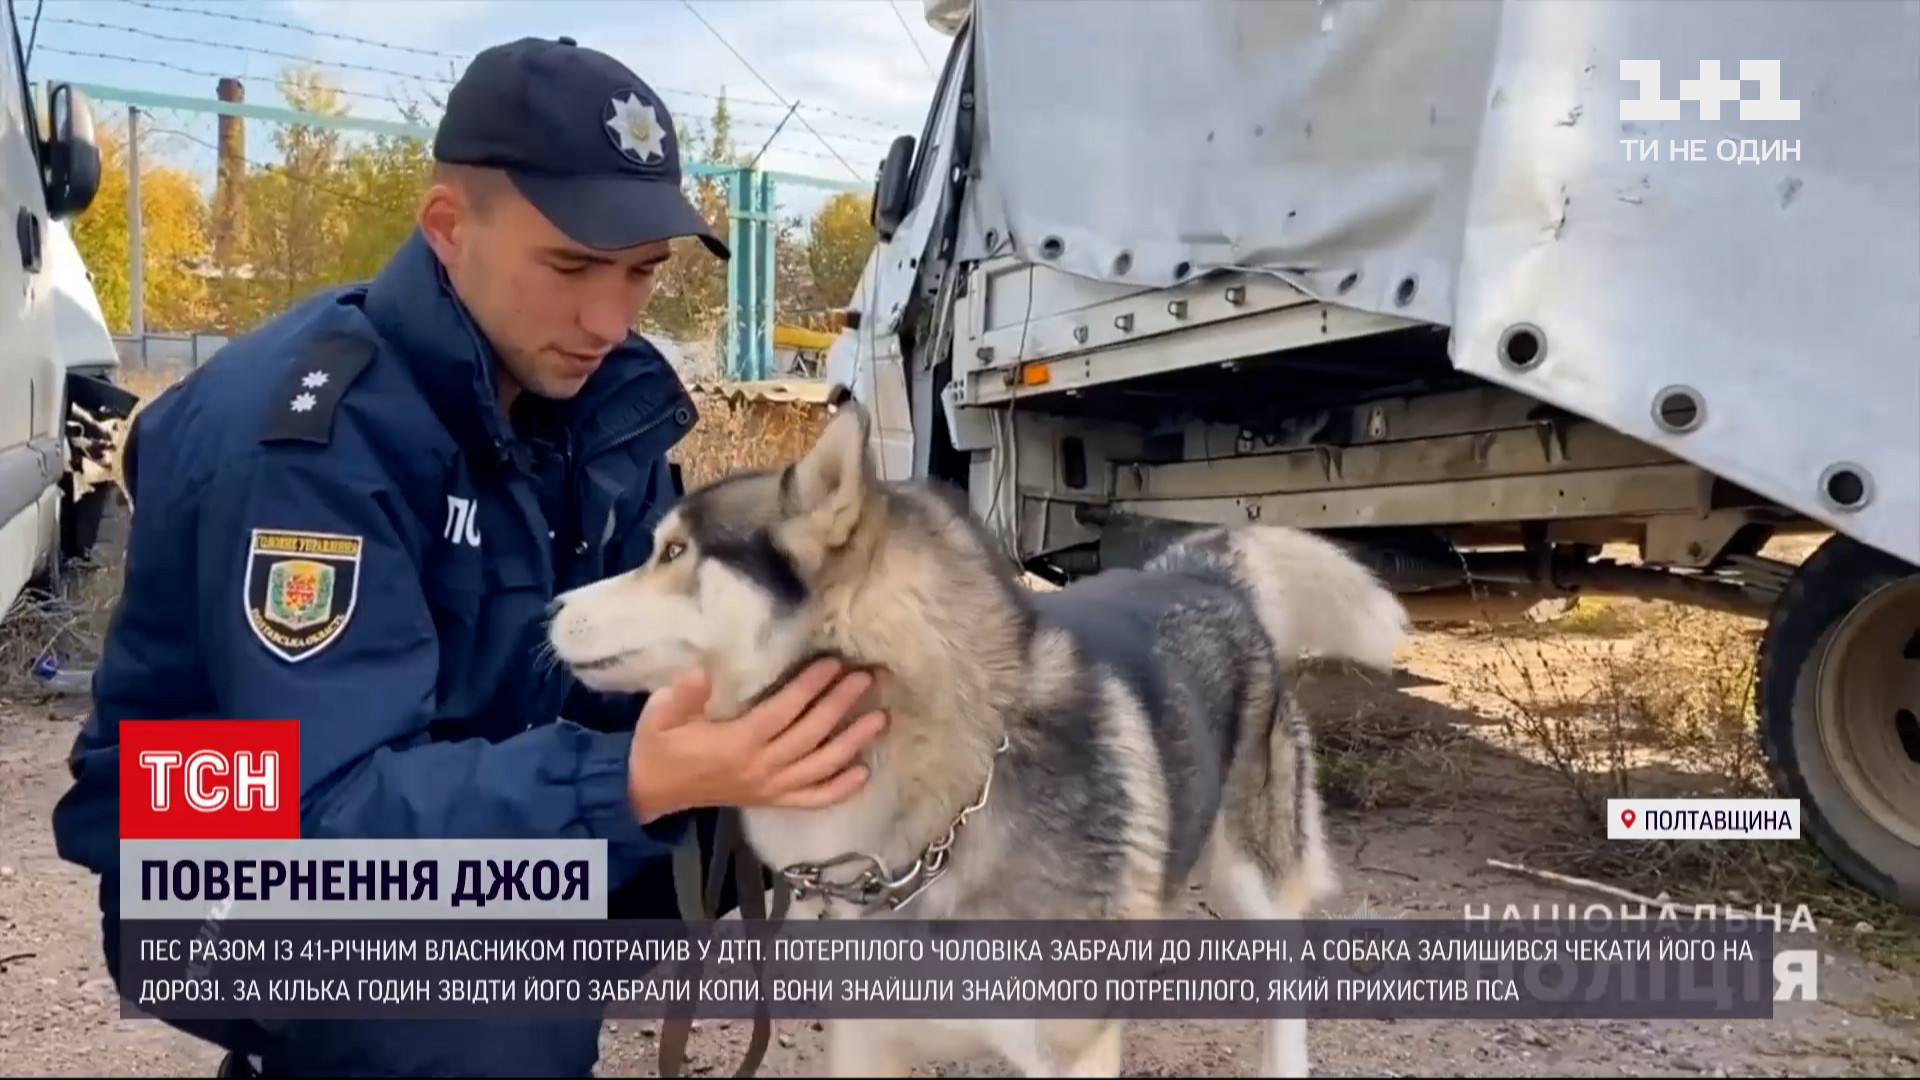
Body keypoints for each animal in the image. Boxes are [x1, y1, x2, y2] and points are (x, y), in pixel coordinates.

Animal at [549, 390, 1405, 1068]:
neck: (938, 820)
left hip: (1252, 879)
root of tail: (1197, 570)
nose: (549, 609)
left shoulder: (1068, 1051)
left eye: (674, 551)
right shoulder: (866, 1041)